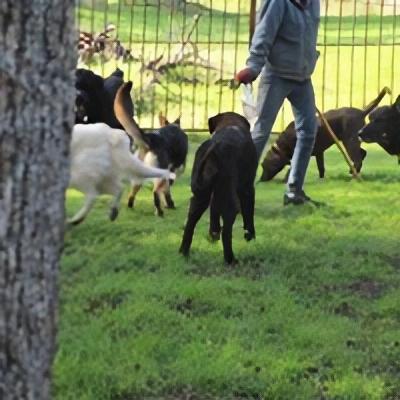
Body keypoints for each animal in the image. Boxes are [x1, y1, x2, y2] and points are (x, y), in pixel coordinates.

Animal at [112, 82, 188, 217]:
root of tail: (151, 139)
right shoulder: (172, 172)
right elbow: (166, 191)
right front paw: (169, 204)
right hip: (160, 174)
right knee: (155, 191)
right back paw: (159, 211)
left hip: (138, 175)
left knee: (133, 192)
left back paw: (131, 206)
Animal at [178, 111, 256, 266]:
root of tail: (215, 147)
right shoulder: (247, 188)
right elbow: (248, 212)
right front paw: (250, 235)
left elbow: (214, 210)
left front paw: (213, 234)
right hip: (230, 201)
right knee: (227, 231)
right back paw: (230, 259)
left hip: (199, 196)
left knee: (190, 224)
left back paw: (184, 252)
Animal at [260, 88, 390, 181]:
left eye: (266, 165)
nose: (261, 180)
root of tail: (362, 112)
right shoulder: (319, 153)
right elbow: (321, 167)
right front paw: (321, 180)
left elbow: (293, 168)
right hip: (352, 141)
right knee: (362, 153)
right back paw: (352, 170)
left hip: (349, 142)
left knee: (358, 157)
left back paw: (354, 176)